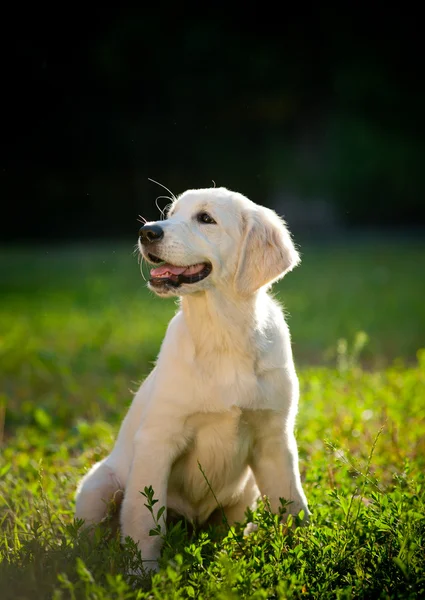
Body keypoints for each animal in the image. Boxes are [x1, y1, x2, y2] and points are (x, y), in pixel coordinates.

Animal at [75, 188, 308, 572]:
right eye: (171, 214)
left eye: (205, 219)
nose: (147, 232)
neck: (221, 333)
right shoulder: (157, 441)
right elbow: (143, 520)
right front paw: (142, 574)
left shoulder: (274, 439)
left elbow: (293, 506)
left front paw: (305, 555)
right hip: (99, 487)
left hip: (245, 493)